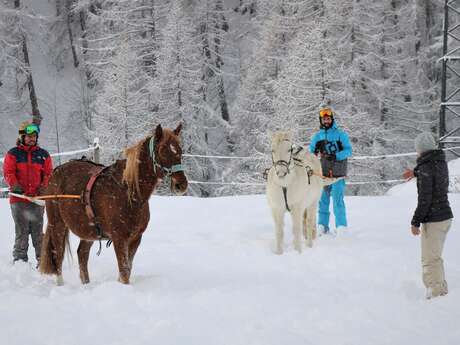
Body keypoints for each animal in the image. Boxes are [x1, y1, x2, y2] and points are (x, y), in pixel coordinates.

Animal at [39, 123, 187, 284]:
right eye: (162, 151)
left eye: (180, 150)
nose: (181, 184)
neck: (129, 191)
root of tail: (56, 171)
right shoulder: (119, 238)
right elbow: (124, 271)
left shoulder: (135, 238)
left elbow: (127, 269)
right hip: (57, 224)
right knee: (58, 254)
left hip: (89, 230)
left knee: (82, 254)